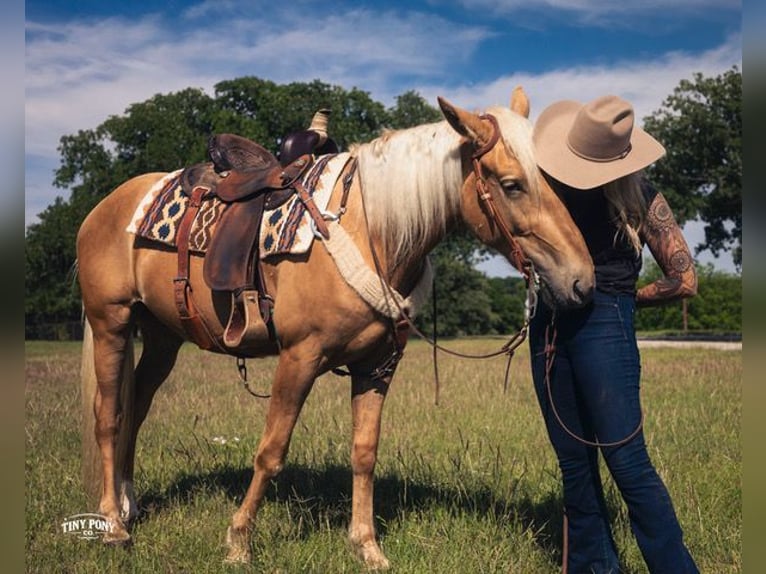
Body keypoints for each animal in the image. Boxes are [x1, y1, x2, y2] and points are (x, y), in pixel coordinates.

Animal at [77, 87, 595, 568]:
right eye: (511, 185)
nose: (582, 281)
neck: (373, 232)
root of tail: (104, 206)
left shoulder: (378, 366)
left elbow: (364, 452)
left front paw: (367, 547)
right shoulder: (299, 357)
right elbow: (271, 450)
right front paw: (239, 541)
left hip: (163, 337)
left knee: (137, 407)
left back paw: (129, 503)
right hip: (111, 323)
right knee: (108, 414)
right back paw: (113, 524)